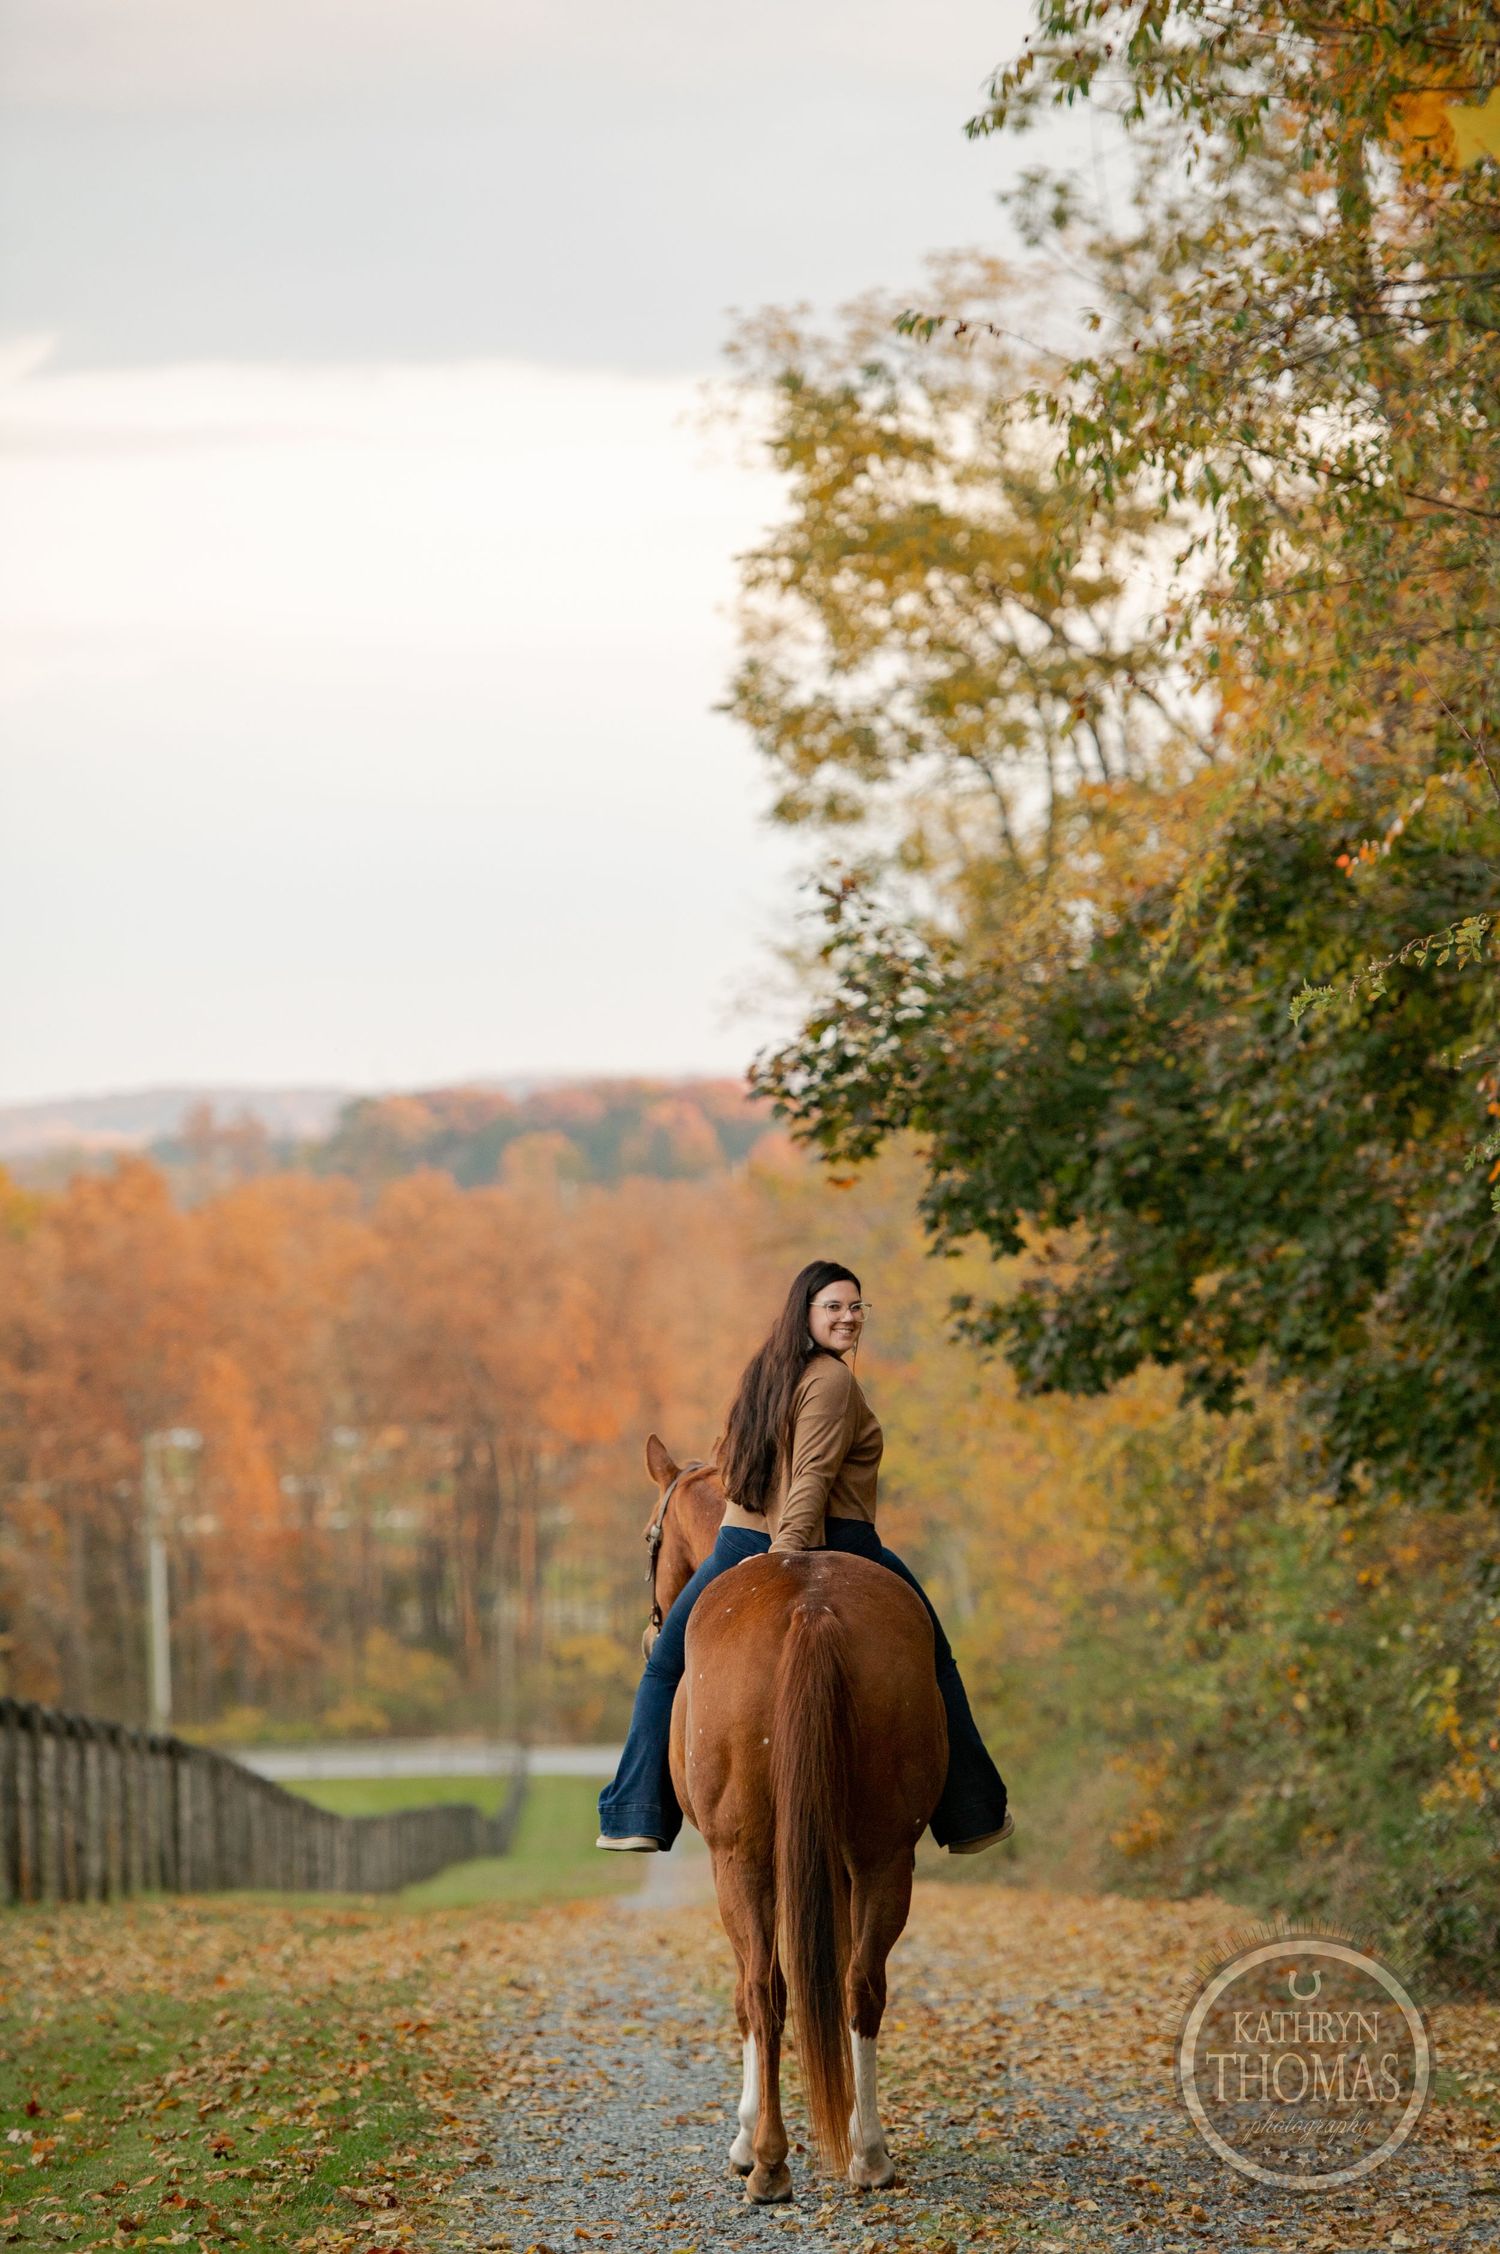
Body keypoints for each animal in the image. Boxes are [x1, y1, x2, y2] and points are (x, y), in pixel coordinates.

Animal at [640, 1434, 946, 2204]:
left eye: (651, 1537)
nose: (652, 1630)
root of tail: (810, 1608)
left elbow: (755, 1992)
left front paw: (745, 2138)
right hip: (883, 1852)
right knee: (860, 1983)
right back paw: (869, 2154)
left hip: (742, 1857)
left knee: (763, 1988)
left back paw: (769, 2161)